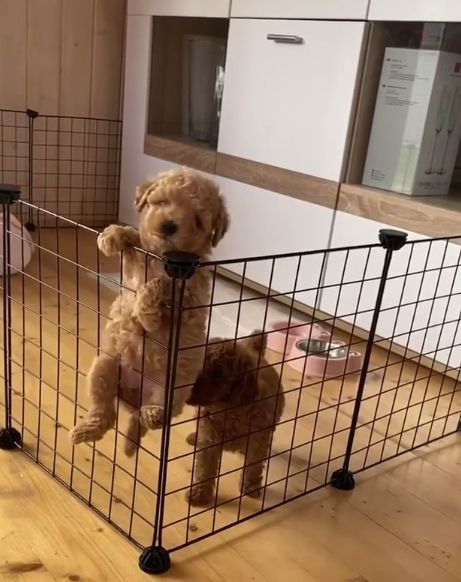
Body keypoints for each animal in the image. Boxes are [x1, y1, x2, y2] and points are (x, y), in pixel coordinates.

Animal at [69, 167, 228, 454]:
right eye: (162, 201)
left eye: (198, 219)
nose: (169, 225)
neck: (162, 258)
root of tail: (135, 399)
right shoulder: (134, 265)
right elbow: (136, 237)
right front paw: (111, 236)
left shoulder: (187, 297)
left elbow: (155, 291)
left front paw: (149, 305)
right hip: (104, 367)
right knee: (105, 411)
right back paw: (87, 431)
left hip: (173, 389)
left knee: (157, 414)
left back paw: (151, 414)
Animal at [183, 330, 284, 508]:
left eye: (218, 373)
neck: (226, 409)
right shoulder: (209, 441)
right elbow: (204, 469)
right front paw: (199, 495)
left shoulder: (258, 441)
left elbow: (253, 465)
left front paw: (251, 486)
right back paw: (195, 437)